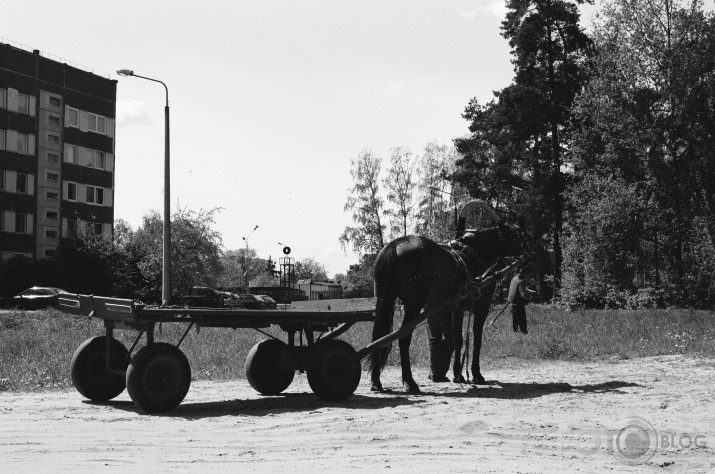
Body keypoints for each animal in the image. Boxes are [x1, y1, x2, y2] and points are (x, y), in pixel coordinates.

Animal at [370, 224, 532, 394]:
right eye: (517, 235)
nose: (528, 257)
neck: (475, 254)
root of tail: (395, 245)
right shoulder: (482, 307)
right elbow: (477, 340)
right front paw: (476, 374)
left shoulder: (457, 309)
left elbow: (458, 340)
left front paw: (458, 374)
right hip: (413, 304)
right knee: (403, 338)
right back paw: (410, 382)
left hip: (384, 299)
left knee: (378, 338)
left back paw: (376, 382)